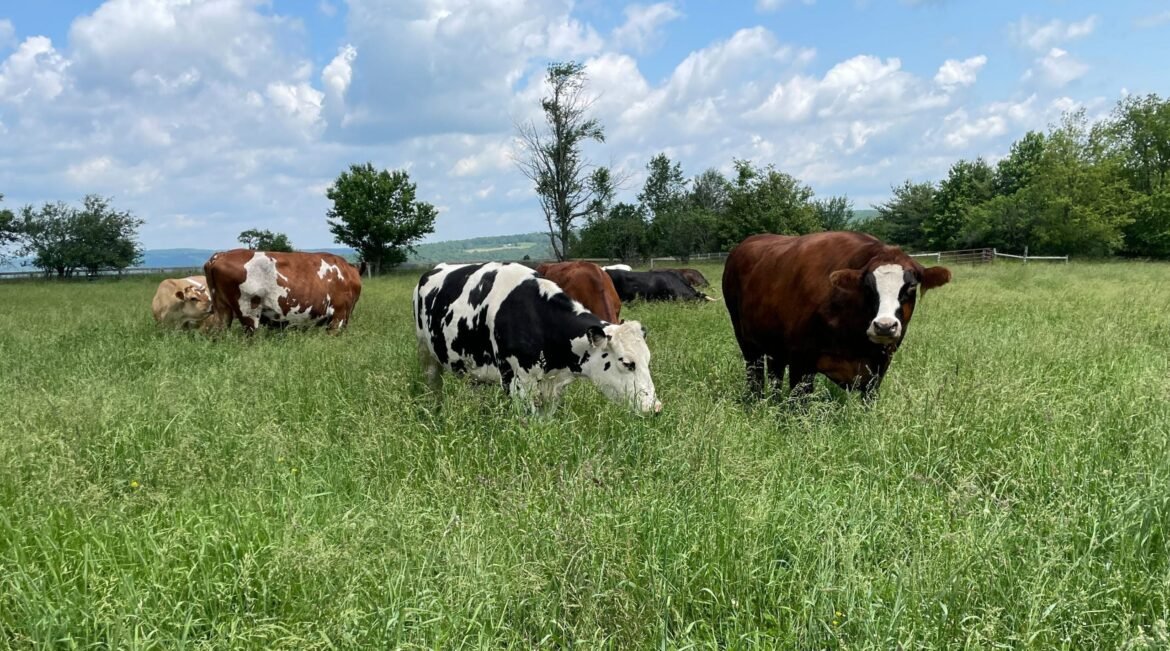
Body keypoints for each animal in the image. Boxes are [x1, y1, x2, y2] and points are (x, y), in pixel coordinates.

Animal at [414, 262, 661, 415]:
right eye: (627, 363)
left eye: (648, 361)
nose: (655, 408)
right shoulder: (516, 384)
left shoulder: (554, 387)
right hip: (426, 353)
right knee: (433, 386)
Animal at [722, 231, 951, 401]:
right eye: (867, 287)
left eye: (911, 287)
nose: (885, 326)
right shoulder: (801, 363)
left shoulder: (879, 365)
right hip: (746, 341)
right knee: (755, 376)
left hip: (773, 345)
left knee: (774, 375)